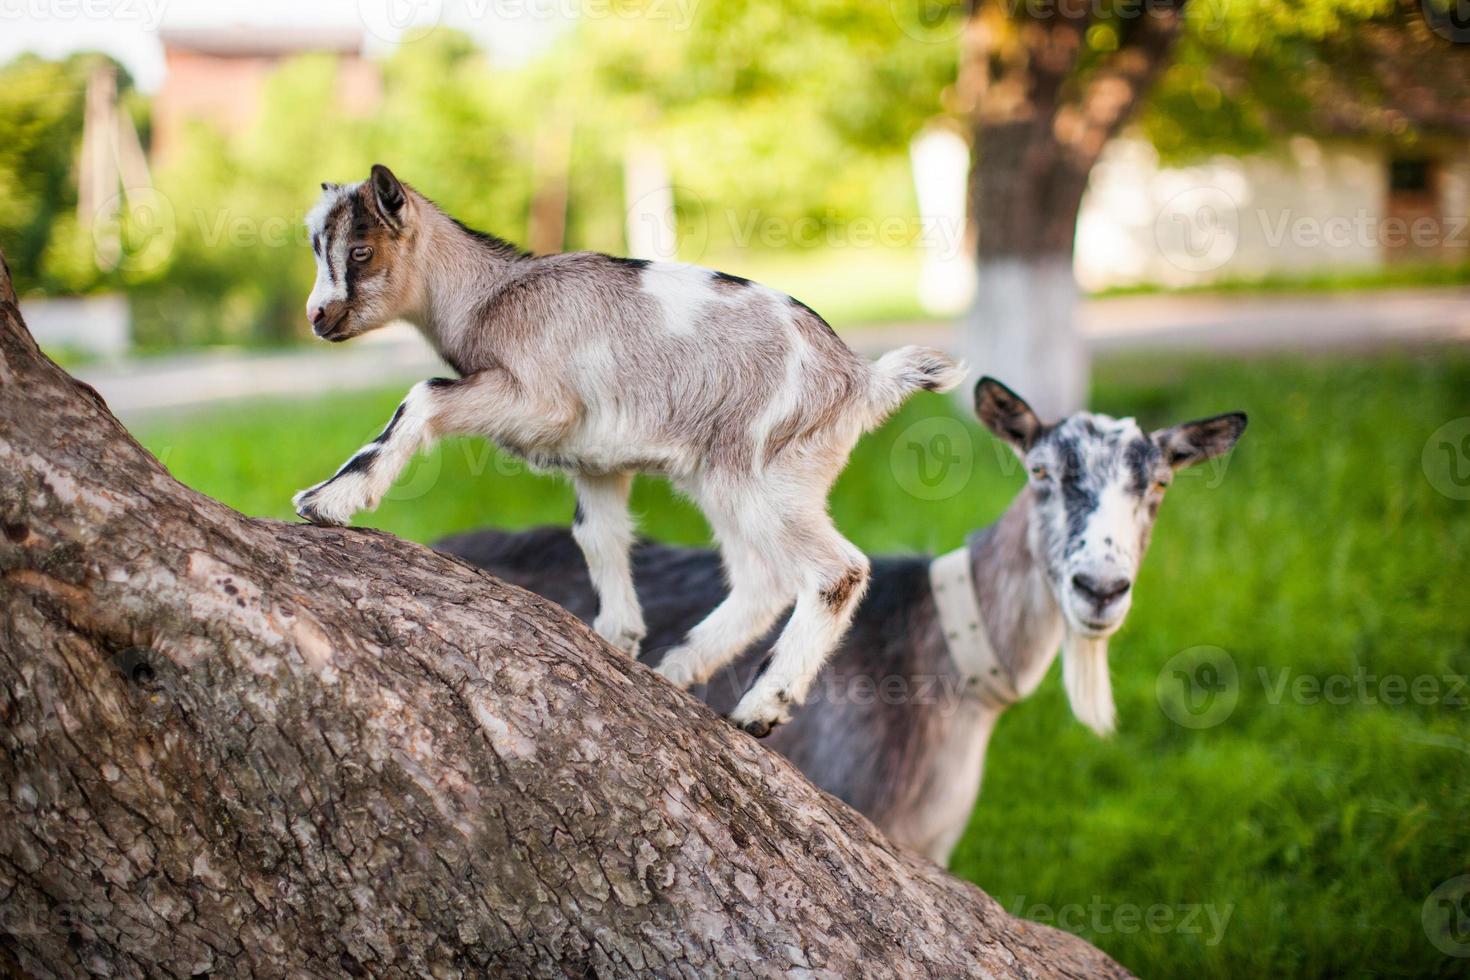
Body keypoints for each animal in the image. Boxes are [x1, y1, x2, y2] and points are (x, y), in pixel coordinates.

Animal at [294, 166, 970, 734]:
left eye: (360, 250)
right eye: (317, 248)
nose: (318, 317)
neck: (491, 294)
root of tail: (863, 381)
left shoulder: (538, 400)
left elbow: (423, 396)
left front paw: (328, 500)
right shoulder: (595, 461)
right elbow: (597, 535)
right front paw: (617, 640)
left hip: (760, 473)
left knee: (836, 571)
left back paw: (760, 705)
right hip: (735, 480)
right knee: (763, 579)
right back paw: (677, 669)